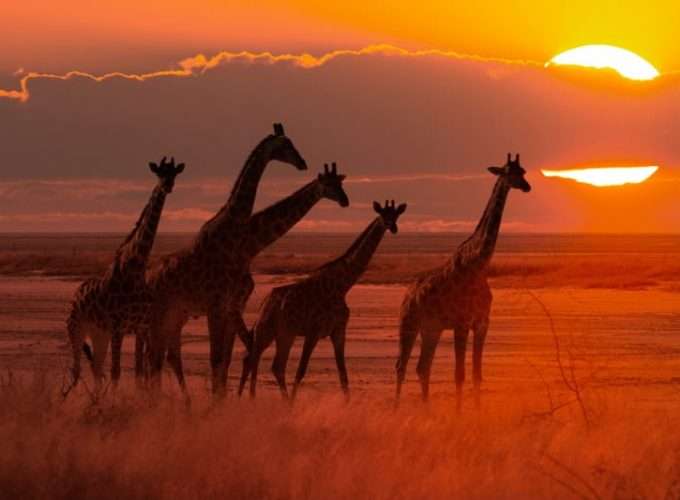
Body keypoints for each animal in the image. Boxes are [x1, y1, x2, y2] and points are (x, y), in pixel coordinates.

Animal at [65, 158, 185, 392]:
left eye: (174, 173)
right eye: (159, 173)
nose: (167, 186)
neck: (135, 268)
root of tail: (76, 294)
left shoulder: (141, 327)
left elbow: (140, 370)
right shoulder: (117, 326)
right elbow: (117, 372)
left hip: (98, 333)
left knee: (96, 369)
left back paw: (96, 399)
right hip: (76, 328)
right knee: (76, 370)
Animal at [154, 162, 350, 392]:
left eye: (340, 183)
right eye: (328, 184)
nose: (345, 201)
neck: (249, 248)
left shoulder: (236, 304)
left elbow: (233, 354)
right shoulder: (226, 305)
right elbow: (233, 353)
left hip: (178, 314)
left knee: (166, 354)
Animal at [242, 199, 406, 398]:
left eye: (396, 215)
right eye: (383, 214)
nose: (393, 227)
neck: (341, 287)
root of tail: (264, 302)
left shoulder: (338, 331)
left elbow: (343, 374)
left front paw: (347, 403)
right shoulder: (314, 331)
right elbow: (301, 371)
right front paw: (294, 404)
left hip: (284, 333)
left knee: (274, 365)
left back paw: (274, 399)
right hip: (267, 330)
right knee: (254, 358)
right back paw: (254, 398)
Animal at [394, 153, 532, 410]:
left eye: (524, 171)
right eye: (509, 172)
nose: (527, 186)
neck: (478, 265)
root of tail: (407, 293)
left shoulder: (482, 323)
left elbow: (477, 374)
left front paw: (476, 413)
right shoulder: (461, 323)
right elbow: (459, 374)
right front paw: (459, 414)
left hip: (431, 329)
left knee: (422, 367)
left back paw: (427, 411)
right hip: (408, 323)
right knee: (401, 366)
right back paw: (396, 410)